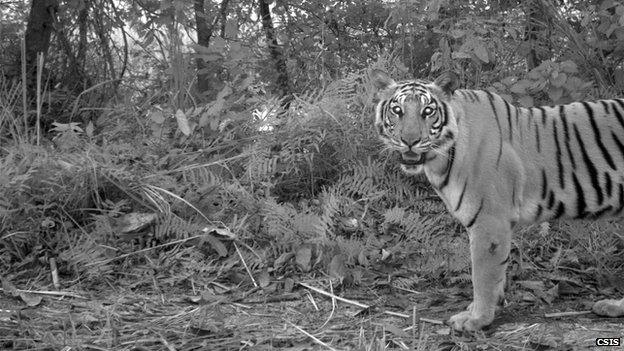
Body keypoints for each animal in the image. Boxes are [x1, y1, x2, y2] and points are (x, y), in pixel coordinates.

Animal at [372, 69, 624, 332]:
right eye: (397, 110)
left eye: (428, 111)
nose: (410, 140)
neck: (441, 159)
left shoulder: (489, 221)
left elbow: (482, 275)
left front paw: (476, 319)